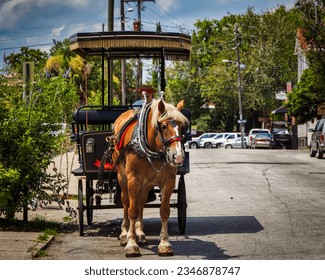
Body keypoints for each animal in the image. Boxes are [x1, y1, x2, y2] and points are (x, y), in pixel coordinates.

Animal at [111, 99, 187, 258]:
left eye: (182, 126)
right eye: (163, 126)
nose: (178, 156)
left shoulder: (168, 182)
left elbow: (164, 211)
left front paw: (164, 243)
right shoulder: (133, 181)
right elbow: (132, 211)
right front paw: (131, 244)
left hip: (146, 184)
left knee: (141, 202)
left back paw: (140, 233)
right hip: (123, 177)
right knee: (126, 203)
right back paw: (124, 233)